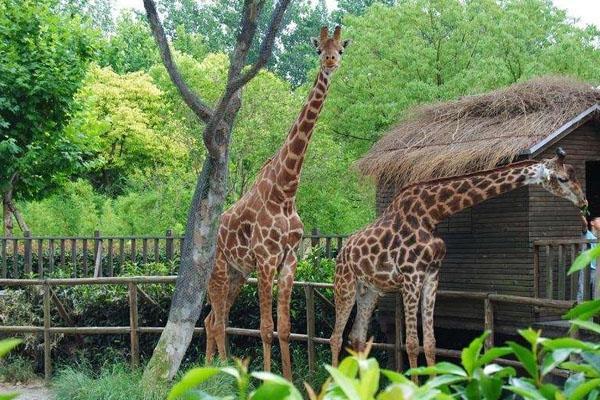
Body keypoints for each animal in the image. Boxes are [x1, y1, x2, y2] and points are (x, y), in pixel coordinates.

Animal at [204, 25, 352, 382]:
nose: (330, 61)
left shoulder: (289, 261)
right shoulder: (266, 259)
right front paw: (267, 380)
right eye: (318, 49)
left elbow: (284, 327)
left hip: (236, 274)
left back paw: (211, 369)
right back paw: (221, 372)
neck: (285, 192)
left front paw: (288, 379)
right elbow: (265, 327)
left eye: (341, 49)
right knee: (216, 321)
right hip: (219, 270)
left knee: (212, 319)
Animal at [328, 148, 584, 378]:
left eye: (574, 173)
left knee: (357, 337)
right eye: (562, 178)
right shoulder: (411, 277)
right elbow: (411, 343)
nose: (583, 201)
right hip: (344, 286)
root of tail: (341, 252)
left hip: (369, 291)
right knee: (336, 337)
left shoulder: (431, 276)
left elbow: (430, 342)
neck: (432, 214)